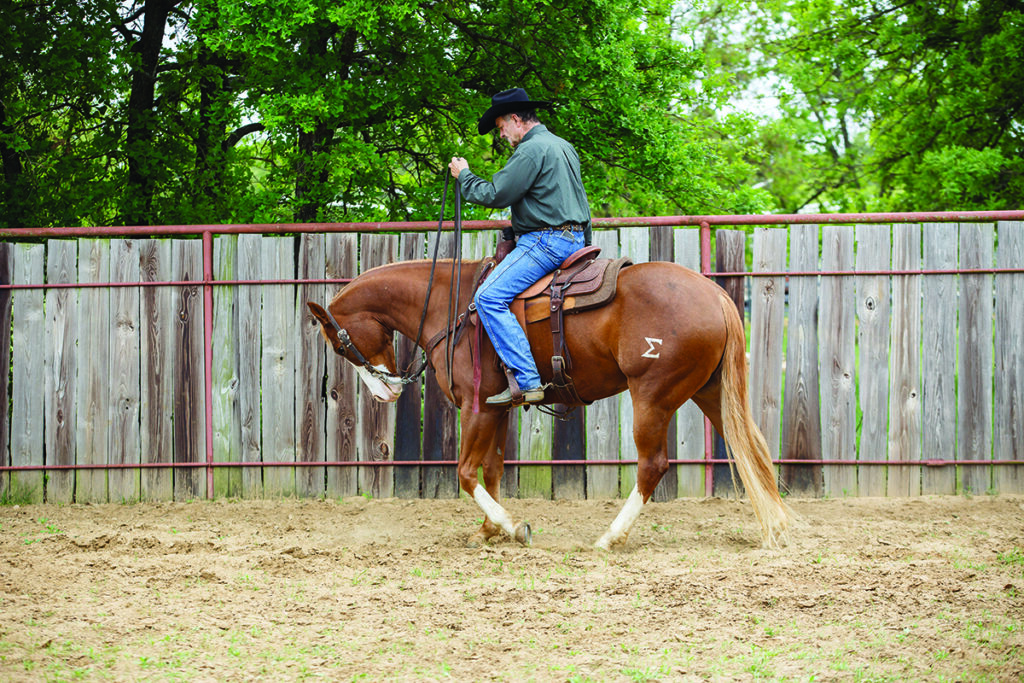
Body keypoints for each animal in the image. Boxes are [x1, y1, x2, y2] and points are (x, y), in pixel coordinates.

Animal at [307, 255, 794, 548]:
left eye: (337, 344)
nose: (387, 390)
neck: (455, 308)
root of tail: (714, 294)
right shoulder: (498, 408)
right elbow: (492, 469)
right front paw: (489, 530)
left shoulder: (476, 406)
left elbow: (465, 473)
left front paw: (511, 527)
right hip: (708, 391)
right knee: (753, 450)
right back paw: (775, 525)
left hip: (652, 397)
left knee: (652, 465)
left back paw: (610, 537)